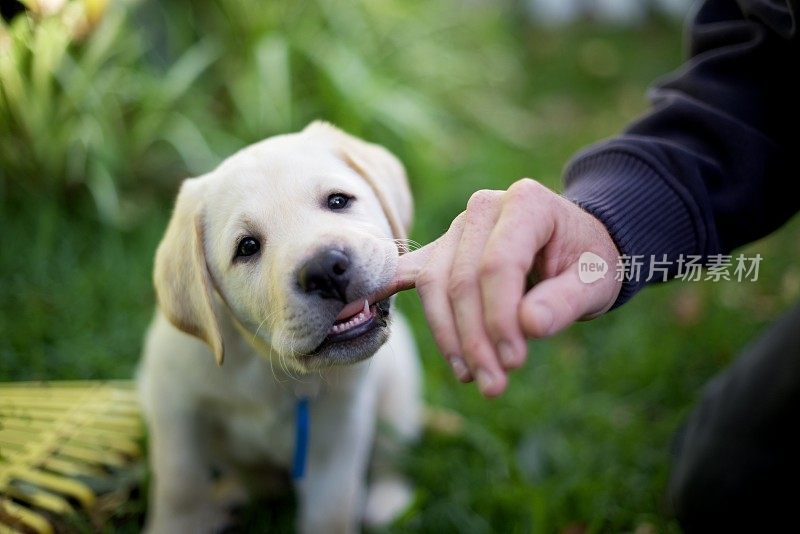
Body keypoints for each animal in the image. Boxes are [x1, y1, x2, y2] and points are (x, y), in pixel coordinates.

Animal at [138, 123, 424, 532]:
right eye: (247, 247)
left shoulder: (338, 427)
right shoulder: (174, 407)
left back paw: (389, 502)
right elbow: (181, 483)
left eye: (338, 201)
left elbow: (331, 509)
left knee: (393, 454)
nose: (324, 269)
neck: (267, 362)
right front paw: (179, 523)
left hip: (400, 393)